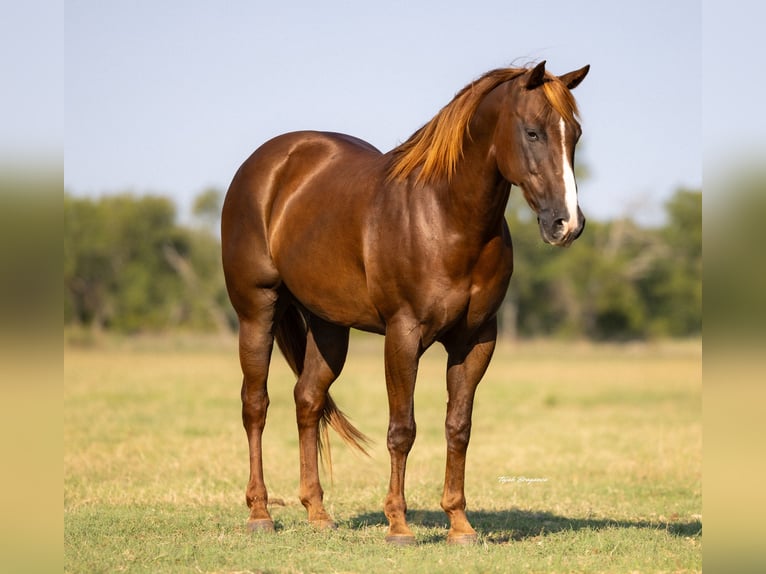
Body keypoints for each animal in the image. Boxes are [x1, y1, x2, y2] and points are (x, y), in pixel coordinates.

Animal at [221, 60, 590, 545]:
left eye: (575, 134)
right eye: (532, 132)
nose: (567, 224)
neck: (446, 216)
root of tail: (265, 164)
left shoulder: (476, 340)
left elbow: (458, 427)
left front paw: (459, 524)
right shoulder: (402, 334)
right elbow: (402, 429)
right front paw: (398, 525)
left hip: (328, 326)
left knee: (308, 399)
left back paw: (317, 513)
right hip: (257, 311)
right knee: (255, 404)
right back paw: (260, 513)